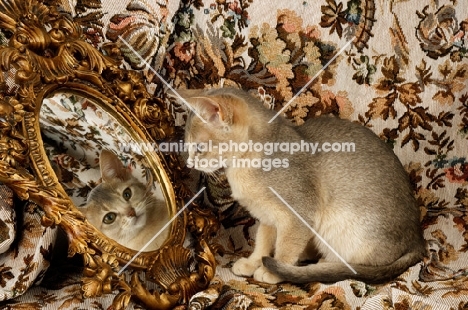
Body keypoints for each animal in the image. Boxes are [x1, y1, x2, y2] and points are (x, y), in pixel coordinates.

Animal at [179, 86, 428, 284]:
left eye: (199, 148)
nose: (189, 163)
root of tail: (417, 239)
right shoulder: (267, 216)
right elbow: (262, 243)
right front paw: (252, 263)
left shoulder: (297, 215)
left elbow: (285, 247)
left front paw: (272, 271)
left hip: (341, 228)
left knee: (354, 266)